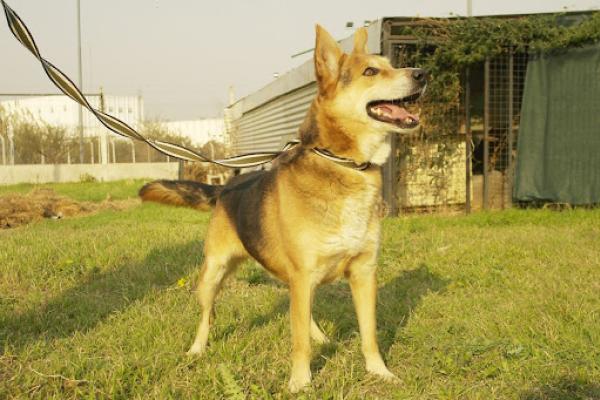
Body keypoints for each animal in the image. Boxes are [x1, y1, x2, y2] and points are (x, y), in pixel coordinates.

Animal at [139, 25, 426, 394]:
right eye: (370, 72)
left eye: (389, 65)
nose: (422, 73)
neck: (344, 165)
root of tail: (225, 188)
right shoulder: (304, 276)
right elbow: (298, 341)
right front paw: (300, 383)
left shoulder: (363, 274)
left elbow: (369, 335)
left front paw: (379, 373)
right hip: (214, 273)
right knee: (207, 316)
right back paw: (197, 349)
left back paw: (321, 336)